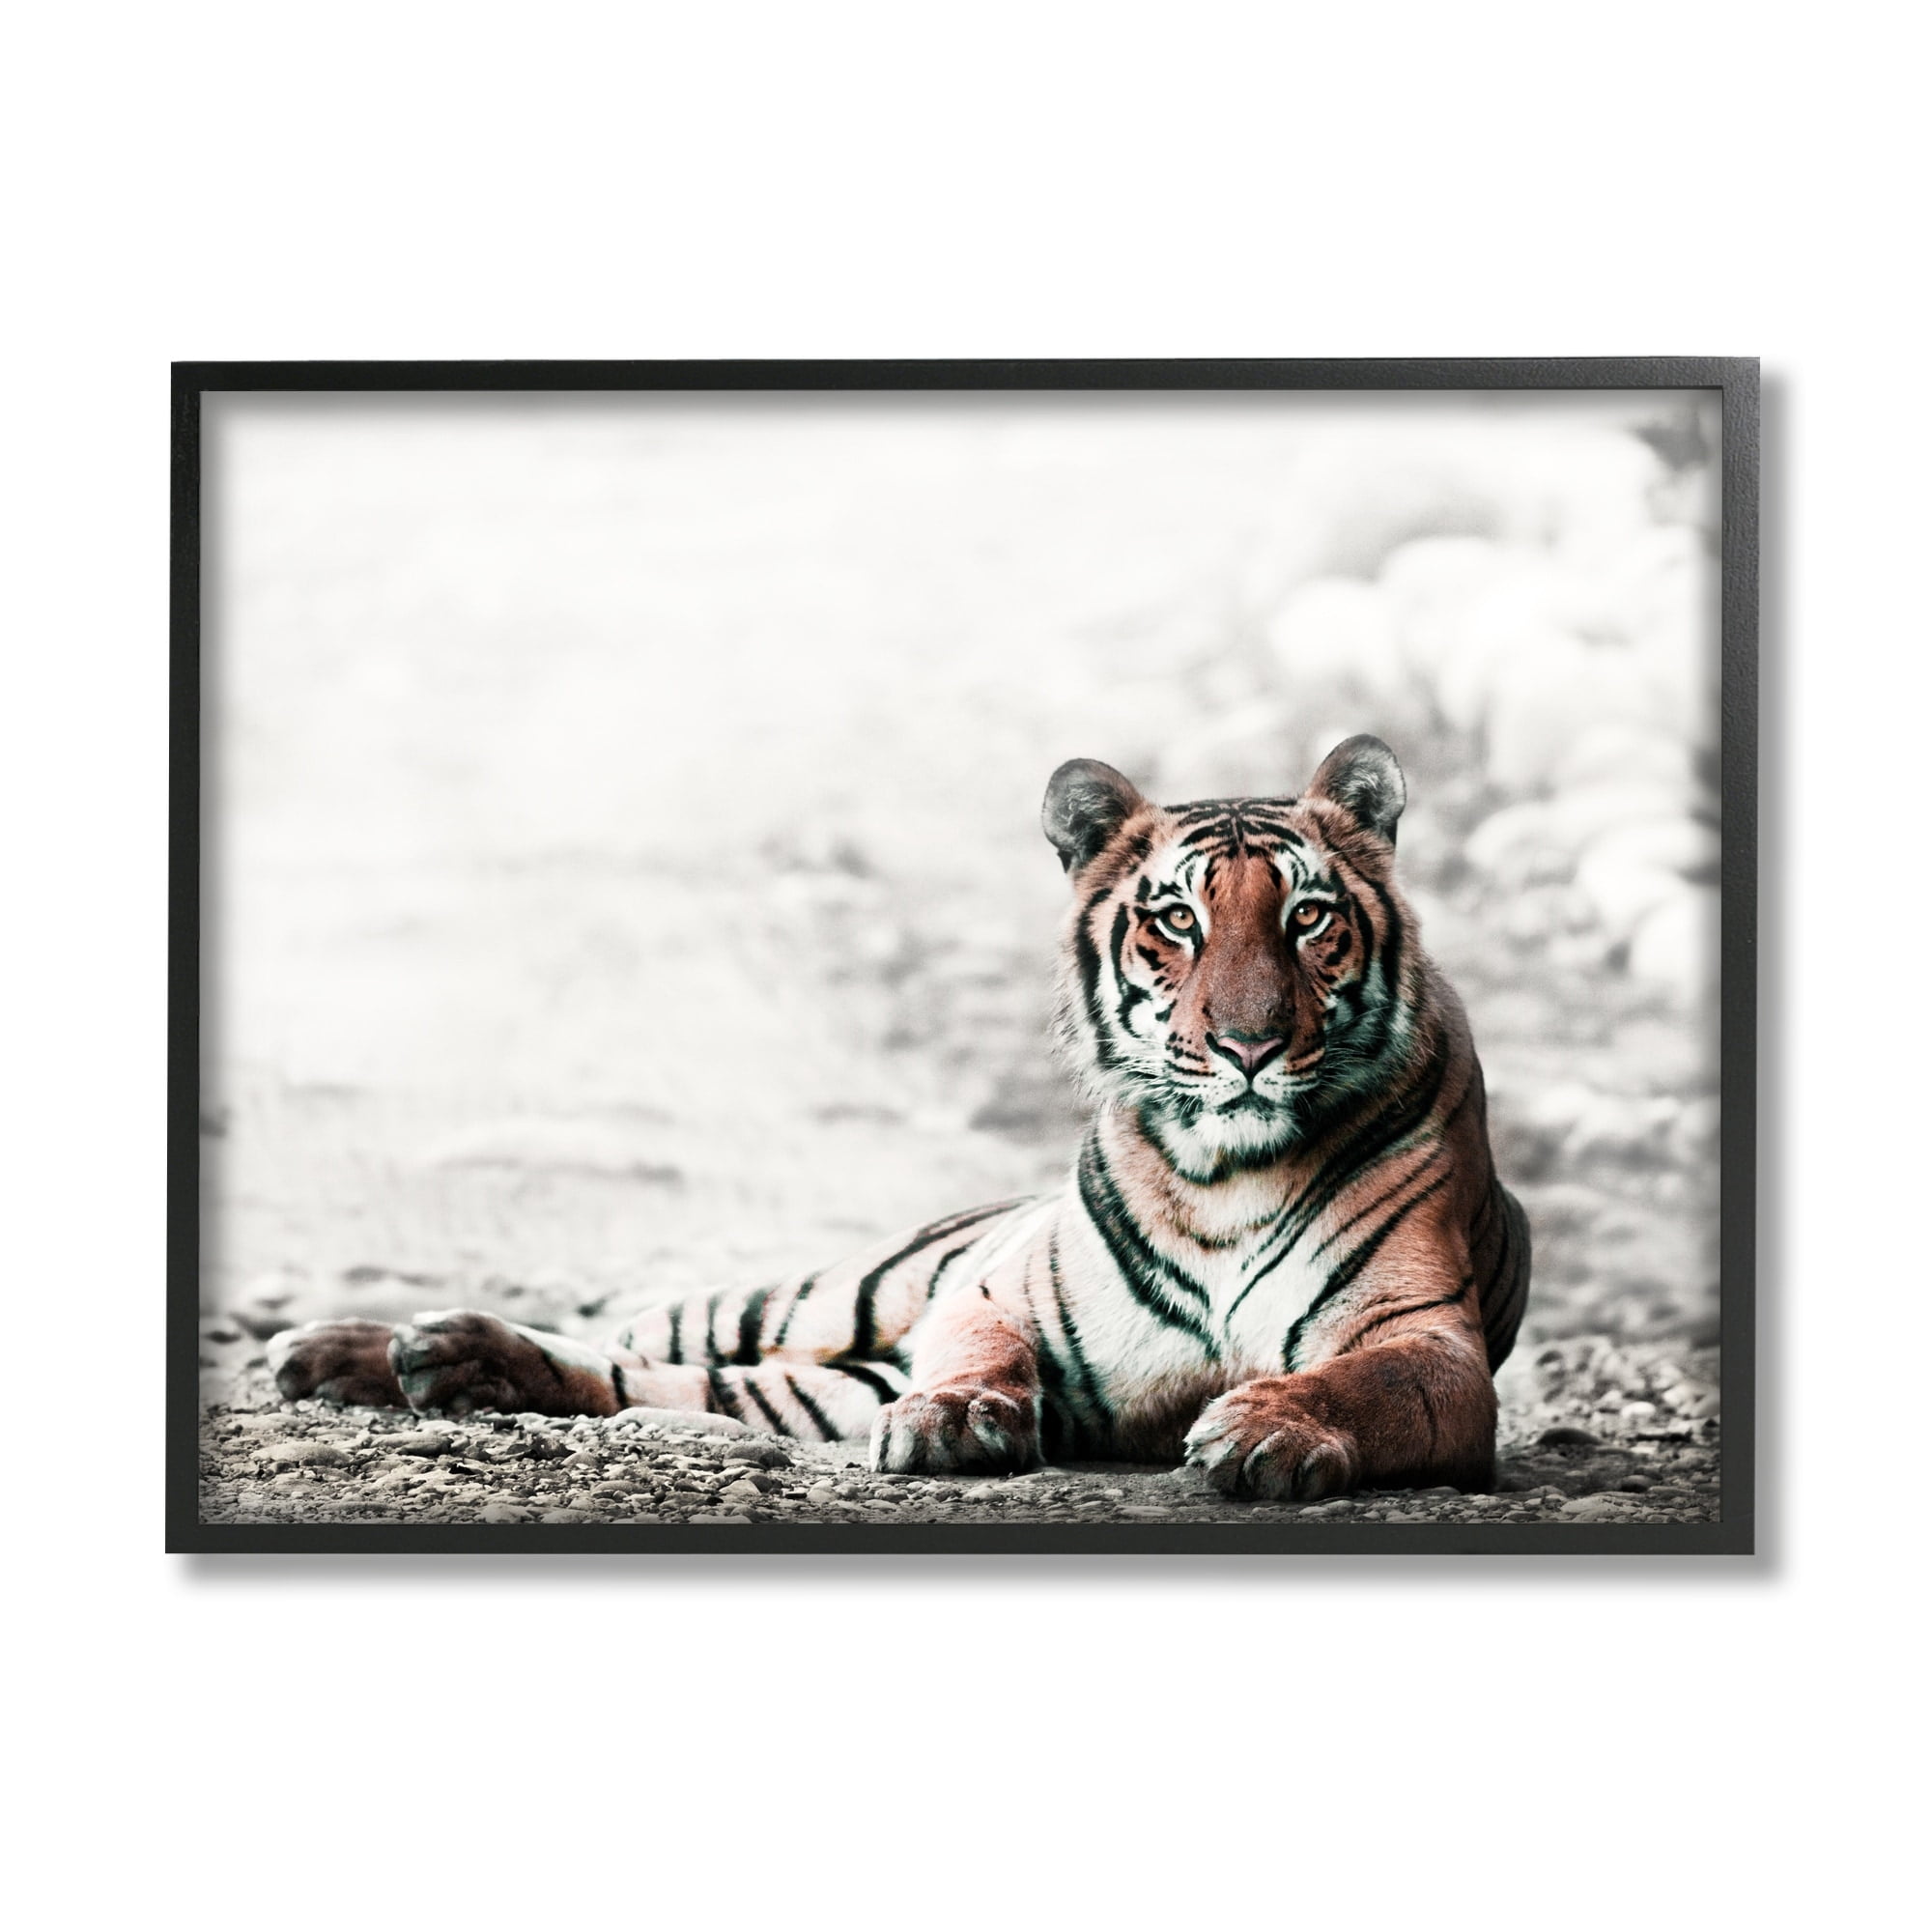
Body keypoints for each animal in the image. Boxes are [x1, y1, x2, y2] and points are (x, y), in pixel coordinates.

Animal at [269, 735, 1530, 1500]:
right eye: (1175, 918)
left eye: (1307, 916)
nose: (1248, 1045)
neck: (1224, 1167)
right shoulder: (987, 1291)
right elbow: (976, 1347)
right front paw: (958, 1417)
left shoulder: (1429, 1339)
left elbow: (1357, 1382)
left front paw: (1263, 1427)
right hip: (825, 1295)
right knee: (645, 1331)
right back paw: (363, 1347)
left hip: (824, 1374)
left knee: (656, 1382)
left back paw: (433, 1359)